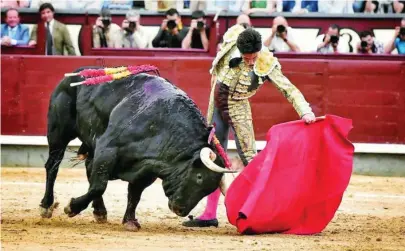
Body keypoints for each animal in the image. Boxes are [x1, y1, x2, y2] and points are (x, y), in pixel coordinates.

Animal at [40, 65, 234, 230]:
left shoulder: (146, 168)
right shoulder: (107, 149)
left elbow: (134, 194)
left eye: (209, 189)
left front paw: (130, 221)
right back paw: (46, 206)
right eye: (199, 177)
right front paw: (72, 207)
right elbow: (99, 185)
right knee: (53, 166)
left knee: (87, 167)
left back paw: (100, 212)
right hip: (58, 133)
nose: (181, 210)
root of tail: (75, 73)